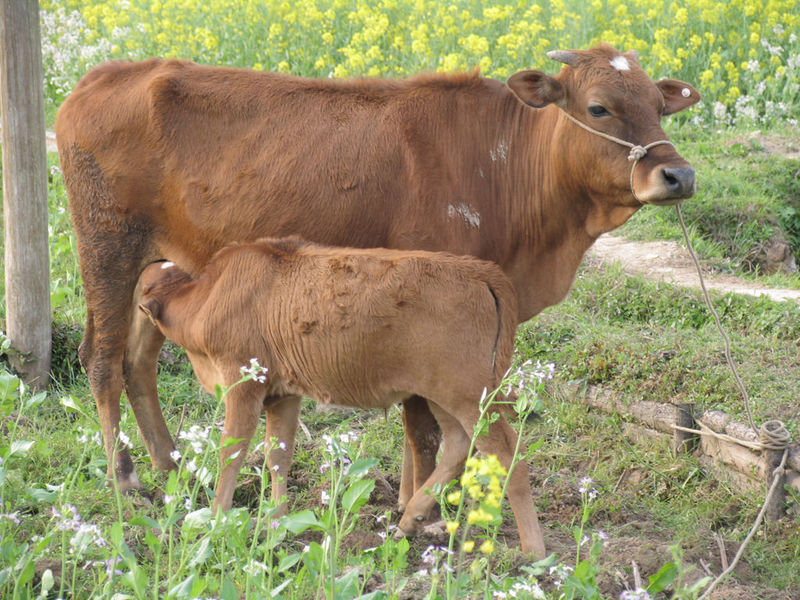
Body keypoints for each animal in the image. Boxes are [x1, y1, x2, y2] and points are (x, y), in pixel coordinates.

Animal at [56, 45, 696, 556]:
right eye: (599, 107)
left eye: (659, 105)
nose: (679, 175)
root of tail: (101, 77)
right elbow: (422, 429)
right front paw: (422, 513)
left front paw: (415, 507)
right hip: (108, 251)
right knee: (103, 361)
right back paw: (125, 481)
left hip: (155, 263)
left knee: (139, 364)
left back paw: (171, 470)